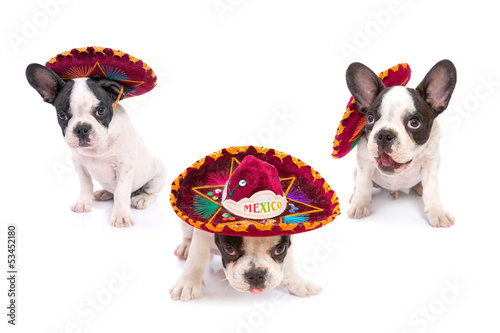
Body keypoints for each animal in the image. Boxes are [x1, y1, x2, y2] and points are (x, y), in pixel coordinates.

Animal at [25, 63, 166, 227]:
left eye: (101, 111)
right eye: (62, 115)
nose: (81, 128)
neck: (97, 148)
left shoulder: (125, 165)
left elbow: (121, 191)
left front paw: (121, 215)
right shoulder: (79, 163)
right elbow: (85, 184)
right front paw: (83, 202)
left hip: (157, 176)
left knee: (152, 192)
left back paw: (142, 198)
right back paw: (105, 193)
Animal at [170, 222, 322, 300]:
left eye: (280, 249)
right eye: (229, 249)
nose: (255, 274)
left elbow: (289, 260)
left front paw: (297, 281)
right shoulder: (201, 232)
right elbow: (197, 256)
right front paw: (188, 283)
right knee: (188, 237)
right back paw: (185, 247)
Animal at [348, 59, 458, 227]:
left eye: (414, 123)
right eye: (370, 118)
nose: (384, 134)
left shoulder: (431, 163)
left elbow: (431, 188)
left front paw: (437, 212)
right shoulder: (363, 162)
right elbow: (363, 184)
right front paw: (360, 204)